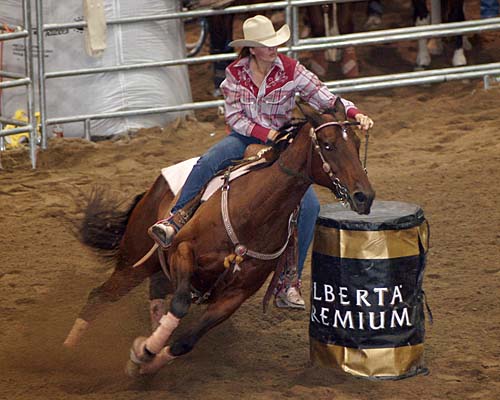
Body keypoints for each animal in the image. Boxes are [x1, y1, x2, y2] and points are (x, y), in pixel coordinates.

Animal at [63, 100, 376, 376]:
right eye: (327, 144)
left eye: (356, 143)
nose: (365, 196)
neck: (252, 213)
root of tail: (154, 188)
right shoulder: (183, 251)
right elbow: (180, 304)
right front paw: (145, 352)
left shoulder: (235, 295)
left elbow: (186, 341)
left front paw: (146, 359)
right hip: (135, 260)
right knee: (100, 296)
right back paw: (67, 352)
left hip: (155, 268)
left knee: (154, 296)